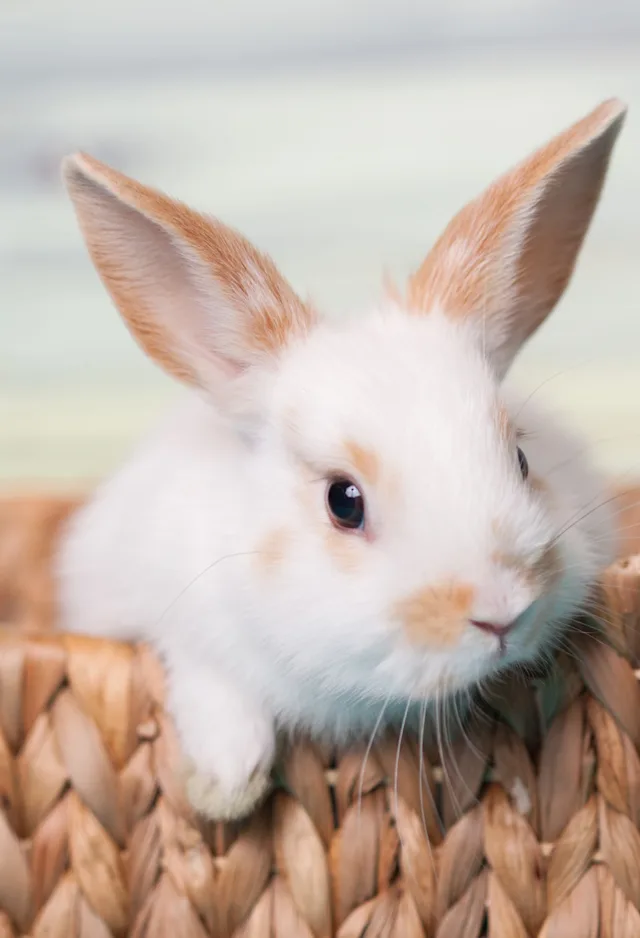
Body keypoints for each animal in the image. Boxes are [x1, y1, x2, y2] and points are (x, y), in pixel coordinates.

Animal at [55, 98, 626, 821]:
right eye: (343, 501)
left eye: (521, 458)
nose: (500, 613)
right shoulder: (163, 618)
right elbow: (208, 682)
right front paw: (226, 786)